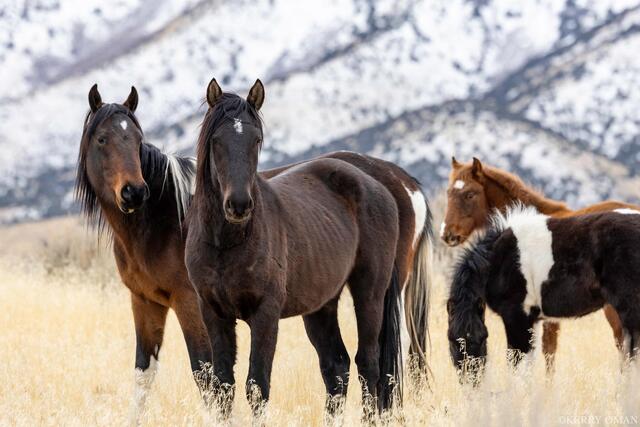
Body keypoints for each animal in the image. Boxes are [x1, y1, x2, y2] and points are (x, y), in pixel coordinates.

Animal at [75, 84, 214, 425]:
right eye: (102, 139)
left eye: (138, 141)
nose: (134, 192)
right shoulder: (145, 302)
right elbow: (143, 373)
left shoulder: (189, 303)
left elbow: (206, 375)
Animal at [185, 78, 433, 420]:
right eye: (217, 141)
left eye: (256, 140)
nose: (239, 204)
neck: (225, 243)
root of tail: (383, 185)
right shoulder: (213, 312)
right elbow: (223, 387)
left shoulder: (265, 314)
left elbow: (257, 386)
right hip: (321, 306)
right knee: (336, 367)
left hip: (371, 293)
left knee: (369, 364)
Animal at [441, 157, 639, 369]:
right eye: (448, 192)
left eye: (470, 194)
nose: (447, 234)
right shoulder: (539, 318)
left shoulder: (523, 317)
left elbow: (533, 359)